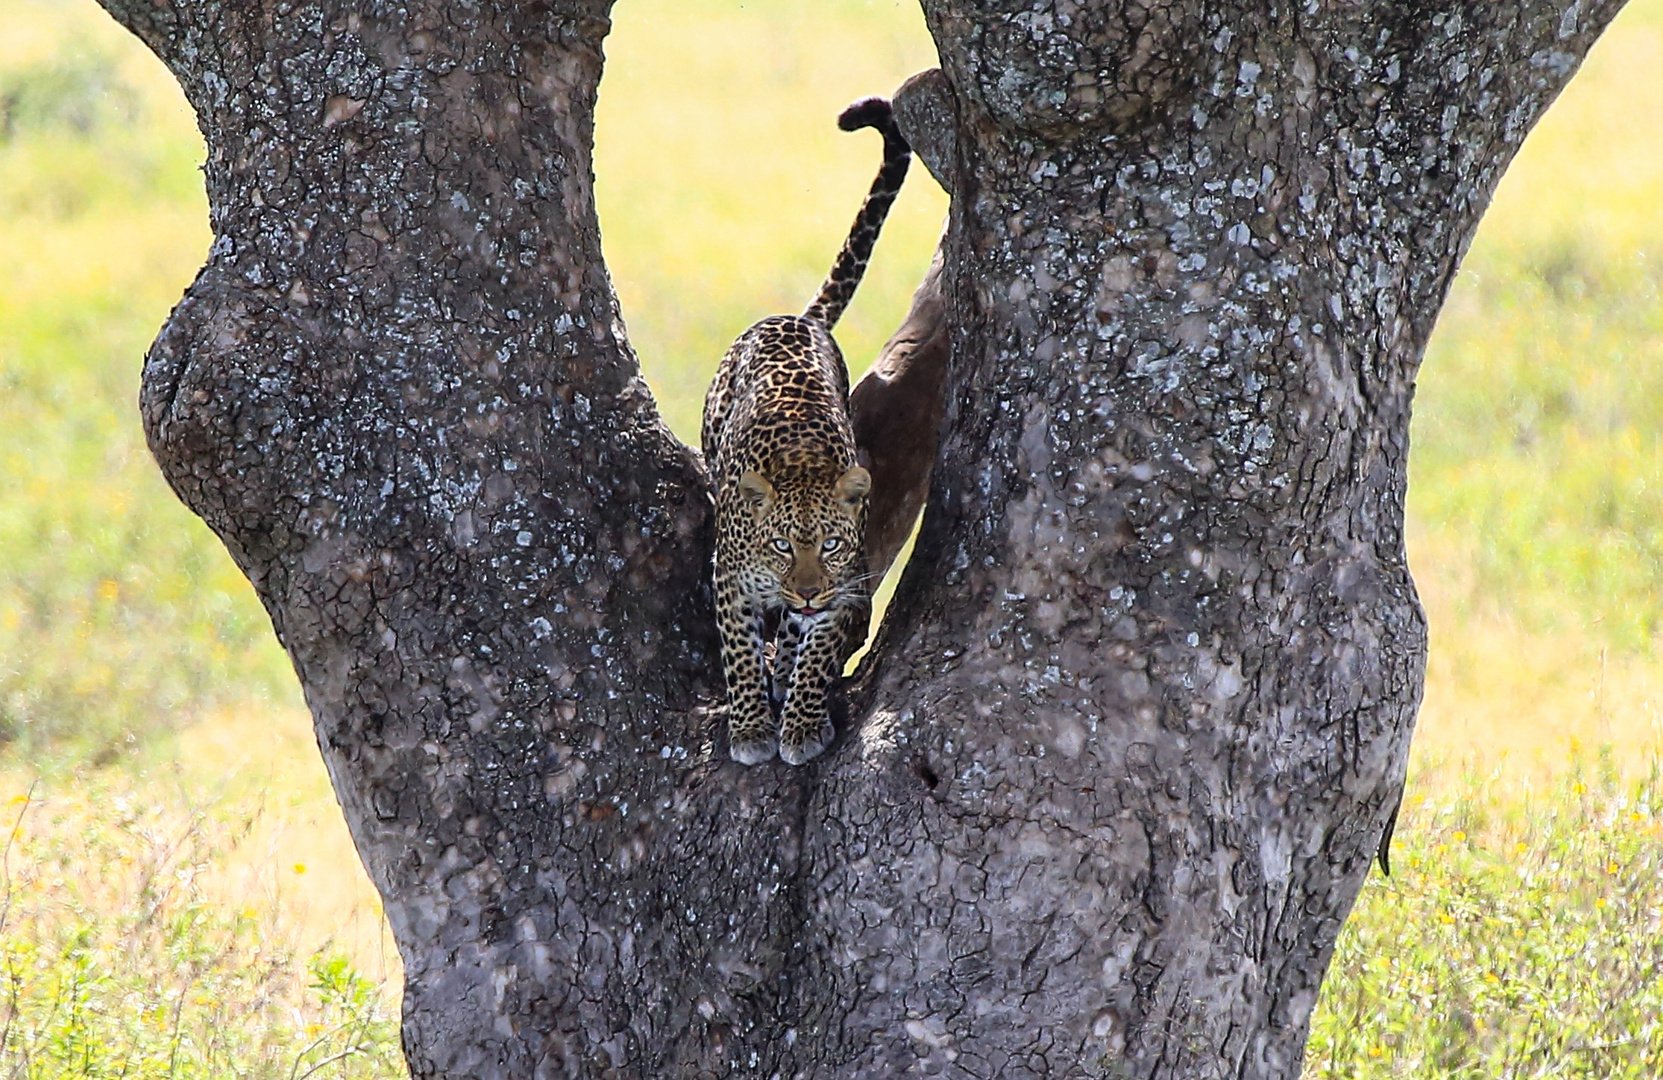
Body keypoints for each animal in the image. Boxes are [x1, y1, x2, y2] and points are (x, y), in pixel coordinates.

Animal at [698, 94, 917, 765]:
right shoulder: (731, 580)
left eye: (832, 546)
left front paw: (799, 723)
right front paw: (749, 728)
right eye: (779, 545)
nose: (806, 591)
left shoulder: (845, 590)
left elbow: (818, 654)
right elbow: (739, 654)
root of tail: (797, 319)